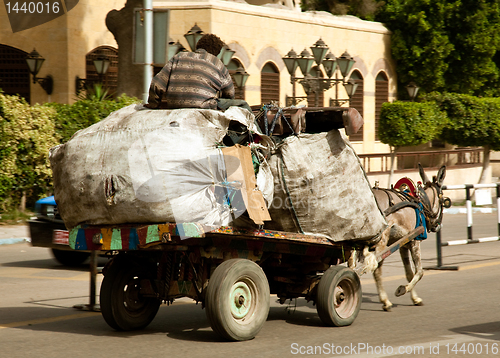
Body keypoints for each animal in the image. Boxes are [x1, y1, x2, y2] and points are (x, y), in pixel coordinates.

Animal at [360, 164, 450, 310]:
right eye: (443, 201)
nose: (437, 226)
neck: (421, 203)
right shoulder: (414, 242)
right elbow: (419, 271)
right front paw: (403, 289)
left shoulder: (403, 245)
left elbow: (409, 273)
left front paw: (415, 298)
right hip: (382, 242)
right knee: (377, 270)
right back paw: (385, 302)